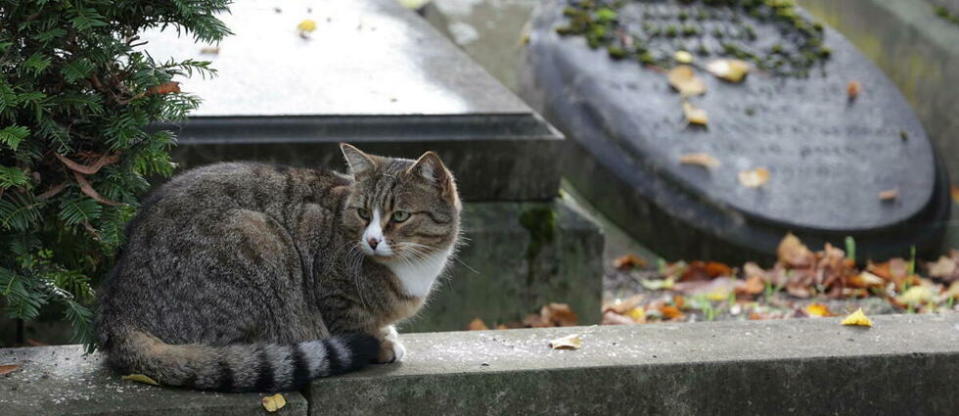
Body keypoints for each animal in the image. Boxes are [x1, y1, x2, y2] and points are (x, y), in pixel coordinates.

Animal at [95, 145, 464, 392]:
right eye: (362, 213)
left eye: (400, 216)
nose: (372, 240)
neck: (415, 265)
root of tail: (118, 311)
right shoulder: (327, 276)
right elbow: (352, 320)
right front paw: (381, 344)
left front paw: (387, 333)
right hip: (257, 234)